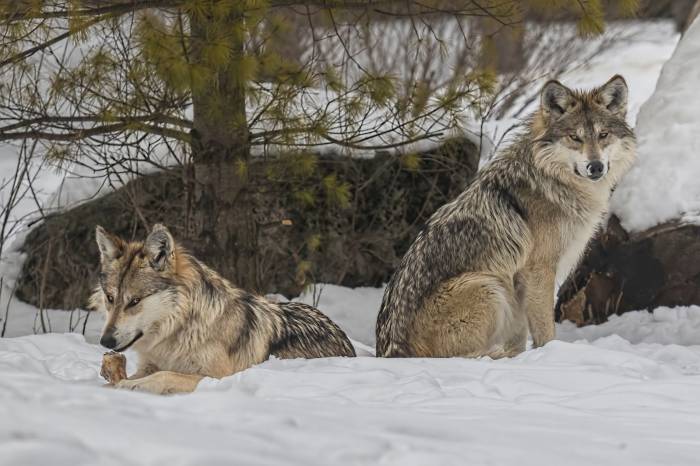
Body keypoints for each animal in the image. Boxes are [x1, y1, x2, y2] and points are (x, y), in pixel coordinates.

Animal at [90, 224, 355, 394]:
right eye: (110, 298)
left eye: (135, 301)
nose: (105, 341)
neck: (179, 331)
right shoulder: (149, 364)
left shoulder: (216, 377)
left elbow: (163, 375)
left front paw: (128, 385)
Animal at [376, 75, 636, 358]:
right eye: (574, 138)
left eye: (603, 135)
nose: (595, 167)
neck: (550, 179)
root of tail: (392, 350)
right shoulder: (537, 271)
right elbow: (545, 331)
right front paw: (549, 355)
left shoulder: (522, 284)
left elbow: (520, 335)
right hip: (488, 286)